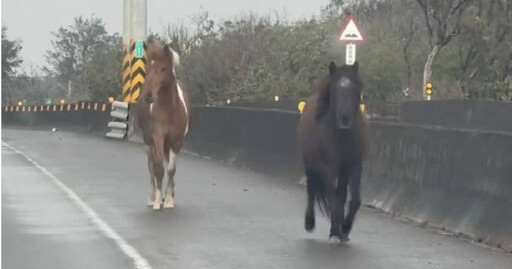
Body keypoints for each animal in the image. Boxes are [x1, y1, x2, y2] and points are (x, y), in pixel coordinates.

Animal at [136, 42, 190, 209]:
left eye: (163, 68)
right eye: (147, 67)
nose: (148, 96)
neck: (170, 109)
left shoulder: (176, 140)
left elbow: (171, 169)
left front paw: (169, 200)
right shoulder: (158, 137)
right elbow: (158, 168)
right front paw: (157, 201)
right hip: (148, 142)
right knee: (151, 166)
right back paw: (152, 197)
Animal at [296, 62, 368, 241]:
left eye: (355, 87)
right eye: (335, 88)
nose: (345, 118)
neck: (342, 137)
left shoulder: (354, 166)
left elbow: (353, 199)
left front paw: (345, 227)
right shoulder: (327, 167)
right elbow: (332, 198)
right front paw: (335, 232)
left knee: (340, 195)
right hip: (310, 165)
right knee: (311, 190)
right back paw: (310, 223)